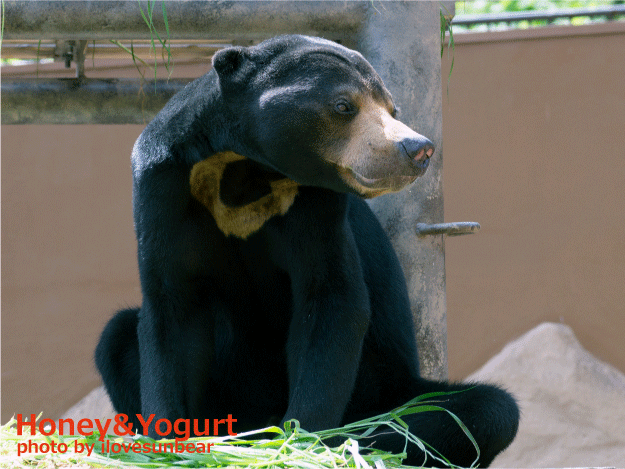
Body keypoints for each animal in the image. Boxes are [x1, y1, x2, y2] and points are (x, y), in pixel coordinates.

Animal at [95, 35, 518, 467]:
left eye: (392, 108)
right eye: (344, 105)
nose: (418, 149)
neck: (245, 167)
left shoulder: (316, 200)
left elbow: (331, 298)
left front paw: (299, 442)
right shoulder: (164, 188)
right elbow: (172, 308)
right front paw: (167, 444)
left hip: (388, 387)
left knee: (485, 411)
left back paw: (358, 440)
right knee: (116, 338)